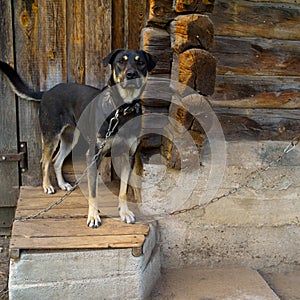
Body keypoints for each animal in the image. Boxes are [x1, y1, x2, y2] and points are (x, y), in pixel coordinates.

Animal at [0, 49, 155, 227]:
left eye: (140, 62)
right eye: (120, 62)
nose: (131, 75)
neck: (122, 109)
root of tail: (47, 91)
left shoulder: (128, 156)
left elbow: (123, 190)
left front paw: (125, 213)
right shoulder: (94, 155)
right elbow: (93, 192)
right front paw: (93, 217)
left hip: (70, 138)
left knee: (56, 161)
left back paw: (62, 184)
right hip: (51, 135)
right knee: (45, 160)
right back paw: (47, 186)